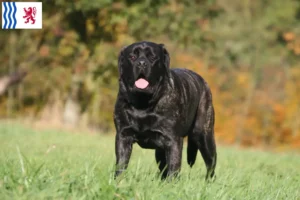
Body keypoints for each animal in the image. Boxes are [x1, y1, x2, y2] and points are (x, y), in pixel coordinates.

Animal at [113, 40, 217, 180]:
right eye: (132, 57)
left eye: (152, 57)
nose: (141, 63)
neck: (143, 104)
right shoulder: (123, 135)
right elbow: (121, 163)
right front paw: (117, 181)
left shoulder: (173, 140)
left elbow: (174, 166)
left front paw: (172, 183)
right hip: (160, 151)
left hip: (203, 136)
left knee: (210, 164)